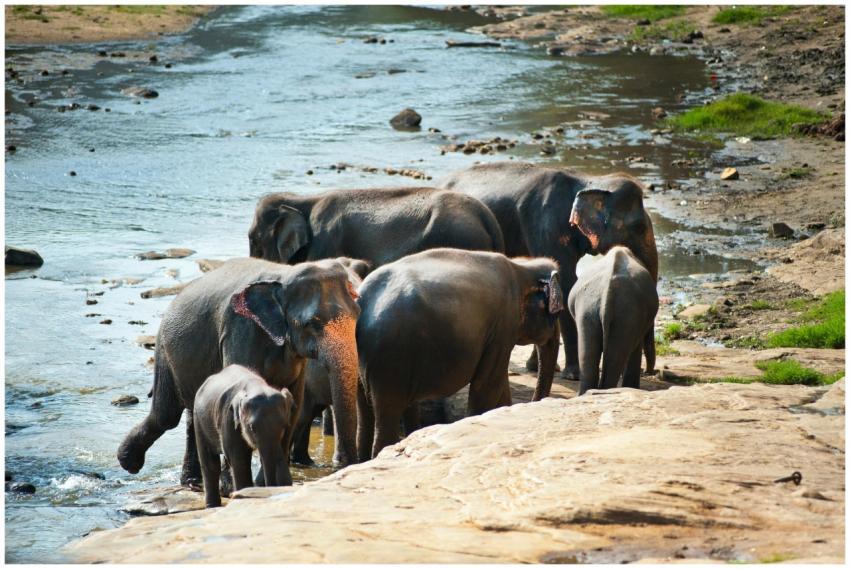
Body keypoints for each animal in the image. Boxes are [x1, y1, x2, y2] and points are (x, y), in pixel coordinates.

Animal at [117, 257, 362, 488]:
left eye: (357, 314)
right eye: (311, 323)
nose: (339, 462)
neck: (283, 274)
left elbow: (294, 403)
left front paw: (265, 483)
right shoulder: (240, 330)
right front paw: (233, 487)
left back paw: (192, 482)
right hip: (164, 352)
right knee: (166, 416)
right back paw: (128, 463)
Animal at [193, 364, 294, 508]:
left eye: (284, 426)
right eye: (252, 428)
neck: (257, 386)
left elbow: (278, 453)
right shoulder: (229, 418)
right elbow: (239, 460)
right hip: (199, 418)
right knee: (210, 464)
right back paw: (212, 506)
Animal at [355, 248, 564, 460]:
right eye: (557, 314)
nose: (535, 403)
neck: (522, 267)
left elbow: (498, 384)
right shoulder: (503, 325)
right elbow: (487, 385)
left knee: (365, 415)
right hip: (391, 361)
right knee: (388, 413)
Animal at [439, 162, 658, 379]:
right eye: (639, 227)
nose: (649, 372)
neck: (589, 181)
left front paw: (538, 367)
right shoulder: (547, 224)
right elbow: (566, 281)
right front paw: (573, 374)